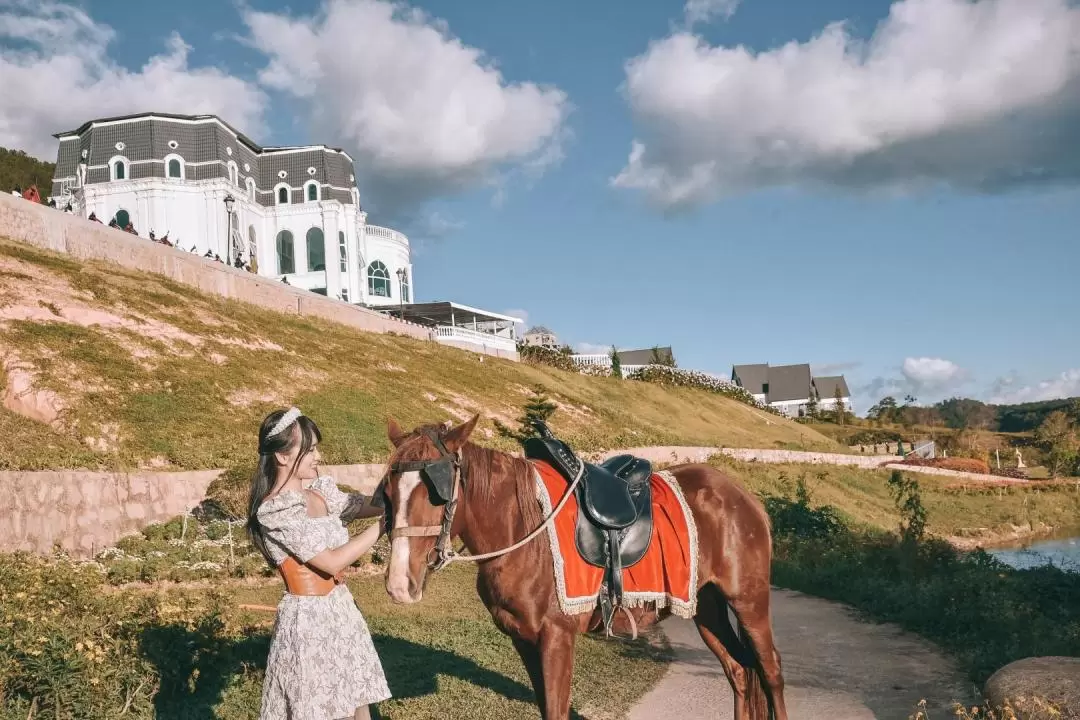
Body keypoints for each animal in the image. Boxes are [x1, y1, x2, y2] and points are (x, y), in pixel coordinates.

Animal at [380, 416, 786, 720]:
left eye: (437, 492)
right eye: (387, 491)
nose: (400, 583)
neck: (523, 530)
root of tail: (743, 496)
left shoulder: (557, 638)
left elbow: (557, 710)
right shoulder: (523, 639)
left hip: (749, 601)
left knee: (770, 672)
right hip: (707, 606)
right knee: (740, 671)